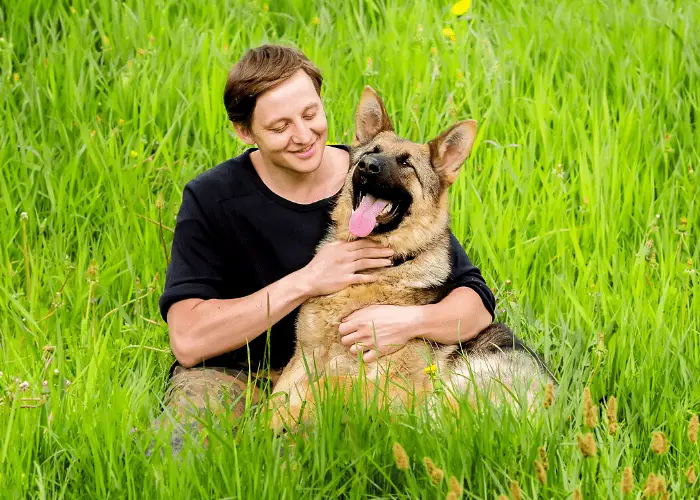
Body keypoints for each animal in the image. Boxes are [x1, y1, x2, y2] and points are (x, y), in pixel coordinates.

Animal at [270, 88, 556, 432]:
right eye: (373, 151)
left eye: (406, 163)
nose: (367, 165)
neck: (380, 269)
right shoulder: (306, 357)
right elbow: (278, 394)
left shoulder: (390, 385)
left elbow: (330, 384)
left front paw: (284, 420)